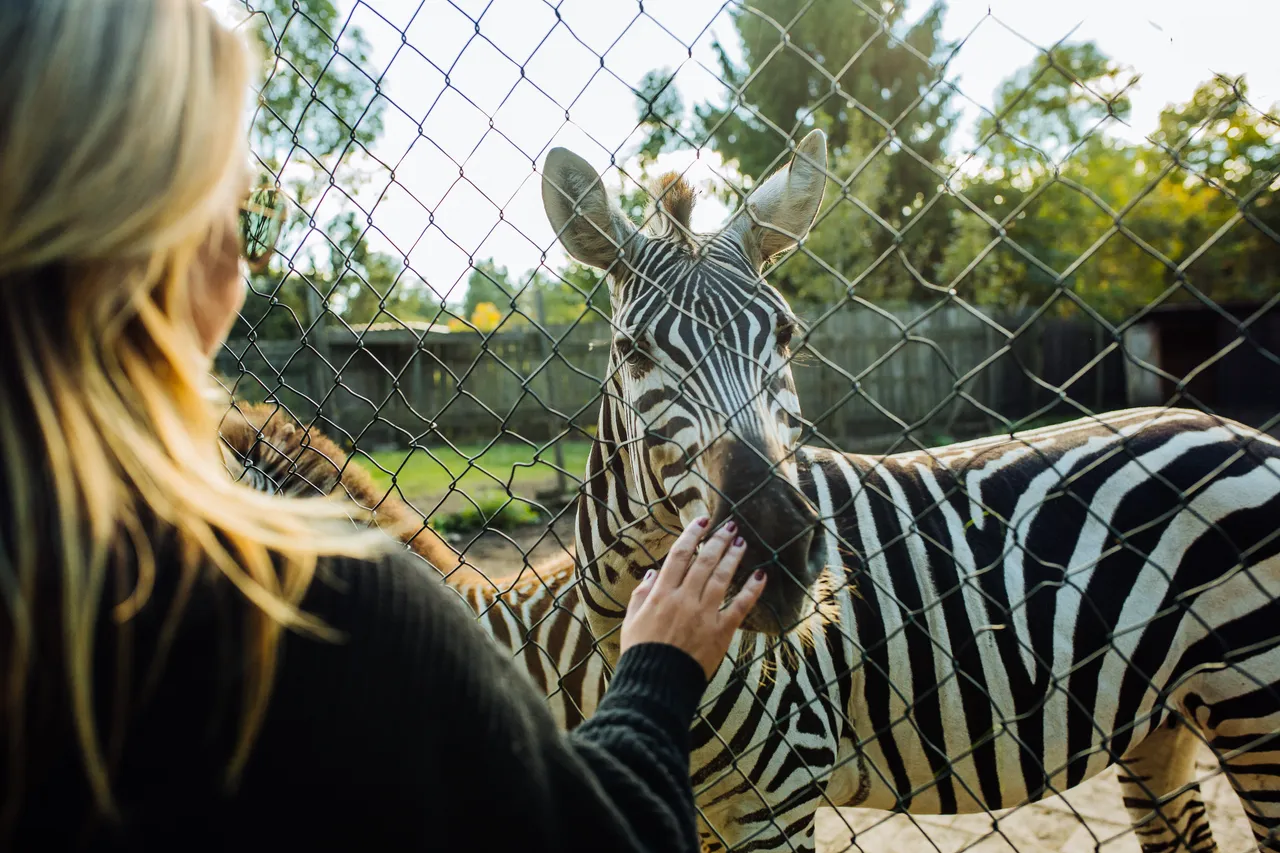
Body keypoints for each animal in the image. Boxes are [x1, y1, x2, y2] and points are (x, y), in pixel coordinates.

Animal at [540, 128, 1280, 852]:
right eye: (633, 351)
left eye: (785, 333)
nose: (776, 548)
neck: (626, 629)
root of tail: (1235, 429)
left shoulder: (783, 790)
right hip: (1165, 716)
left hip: (1255, 704)